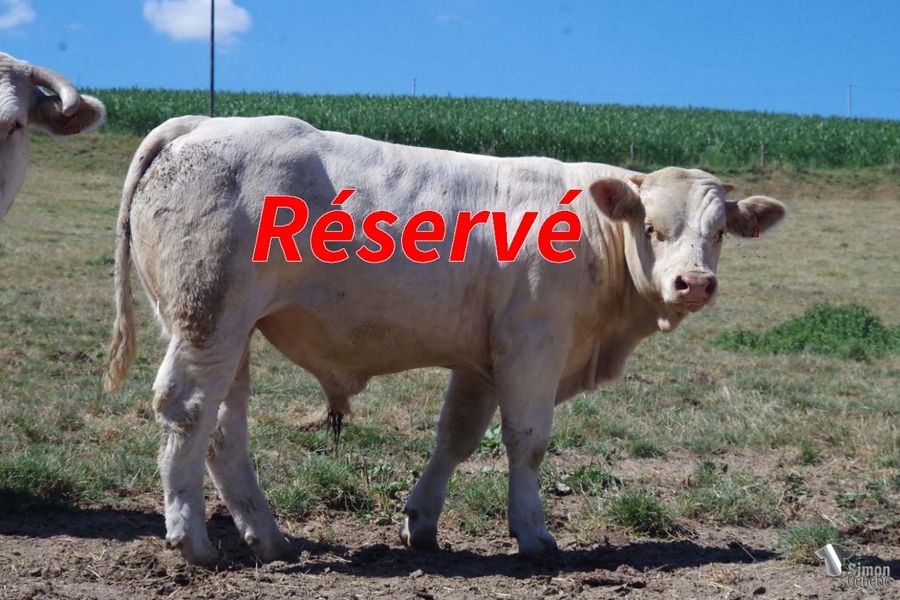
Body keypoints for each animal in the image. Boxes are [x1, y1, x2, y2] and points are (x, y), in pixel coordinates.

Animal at [103, 115, 785, 566]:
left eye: (718, 232)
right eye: (651, 227)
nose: (694, 283)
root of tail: (200, 124)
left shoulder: (482, 359)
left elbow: (456, 437)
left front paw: (421, 523)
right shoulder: (533, 344)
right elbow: (527, 442)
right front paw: (534, 535)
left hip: (227, 332)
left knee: (225, 427)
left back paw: (267, 537)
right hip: (209, 321)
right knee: (188, 411)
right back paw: (193, 540)